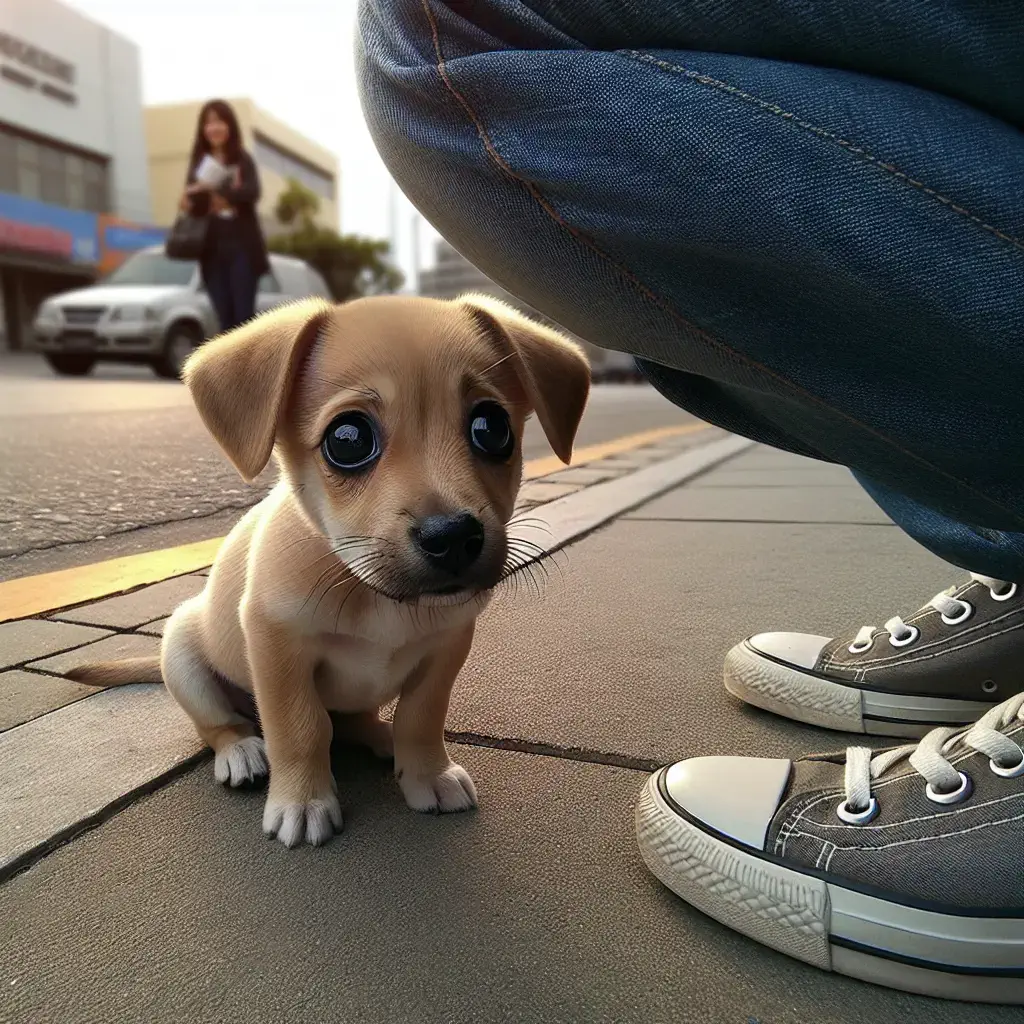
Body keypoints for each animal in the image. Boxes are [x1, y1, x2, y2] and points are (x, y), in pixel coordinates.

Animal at [66, 294, 593, 847]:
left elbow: (420, 717)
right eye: (347, 439)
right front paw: (303, 801)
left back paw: (382, 737)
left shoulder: (447, 648)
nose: (451, 537)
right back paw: (241, 751)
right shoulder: (278, 649)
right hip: (183, 654)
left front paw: (426, 773)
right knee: (221, 724)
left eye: (492, 428)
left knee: (356, 721)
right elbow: (300, 729)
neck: (371, 591)